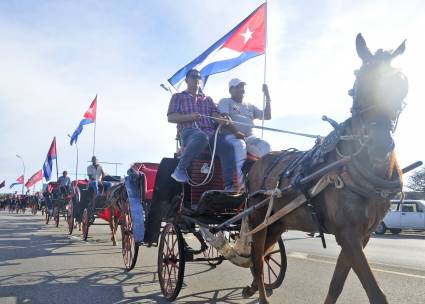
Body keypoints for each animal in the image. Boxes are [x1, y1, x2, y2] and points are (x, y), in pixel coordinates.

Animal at [242, 33, 408, 304]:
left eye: (401, 83)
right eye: (358, 83)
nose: (379, 144)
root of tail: (256, 162)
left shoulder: (361, 236)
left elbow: (336, 285)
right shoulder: (348, 234)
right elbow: (375, 293)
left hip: (278, 223)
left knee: (264, 255)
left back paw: (254, 286)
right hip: (259, 219)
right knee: (257, 258)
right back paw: (262, 294)